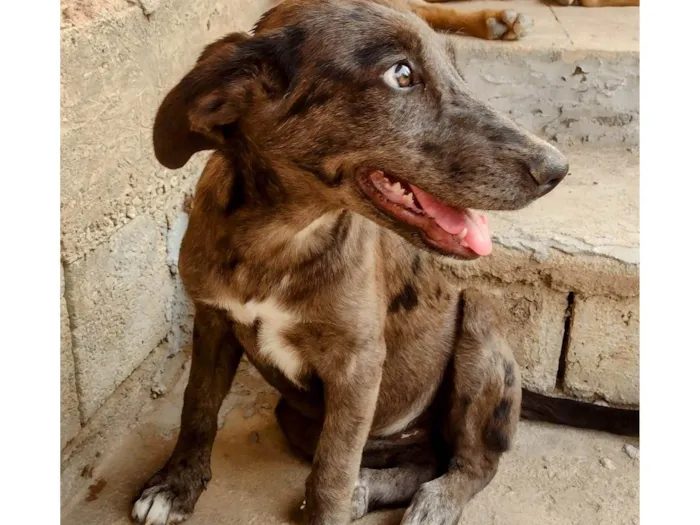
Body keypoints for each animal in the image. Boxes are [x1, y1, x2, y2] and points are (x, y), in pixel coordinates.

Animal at [131, 1, 640, 524]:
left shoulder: (357, 366)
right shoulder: (212, 320)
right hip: (299, 417)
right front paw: (176, 484)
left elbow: (331, 473)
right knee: (417, 459)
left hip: (479, 325)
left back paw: (435, 501)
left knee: (473, 463)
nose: (558, 170)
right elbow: (198, 406)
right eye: (401, 74)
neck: (281, 238)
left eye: (456, 70)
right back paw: (370, 488)